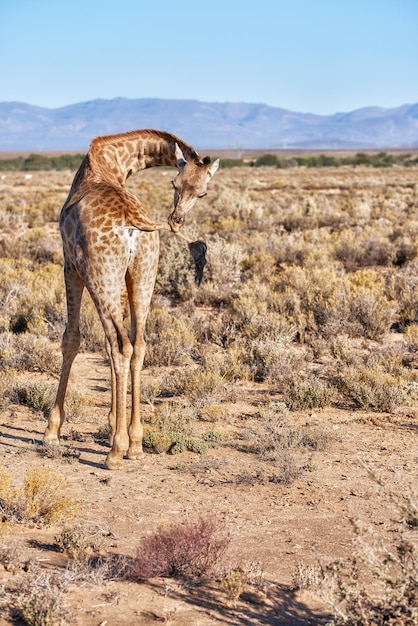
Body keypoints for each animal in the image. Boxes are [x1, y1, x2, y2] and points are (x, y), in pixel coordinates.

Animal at [44, 128, 220, 468]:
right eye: (175, 183)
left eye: (203, 193)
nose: (176, 219)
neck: (111, 162)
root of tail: (134, 228)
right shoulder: (123, 280)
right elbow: (109, 344)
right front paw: (113, 422)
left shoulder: (69, 265)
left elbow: (71, 340)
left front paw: (52, 430)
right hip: (142, 277)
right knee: (137, 345)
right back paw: (135, 443)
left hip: (100, 276)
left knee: (120, 346)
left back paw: (116, 451)